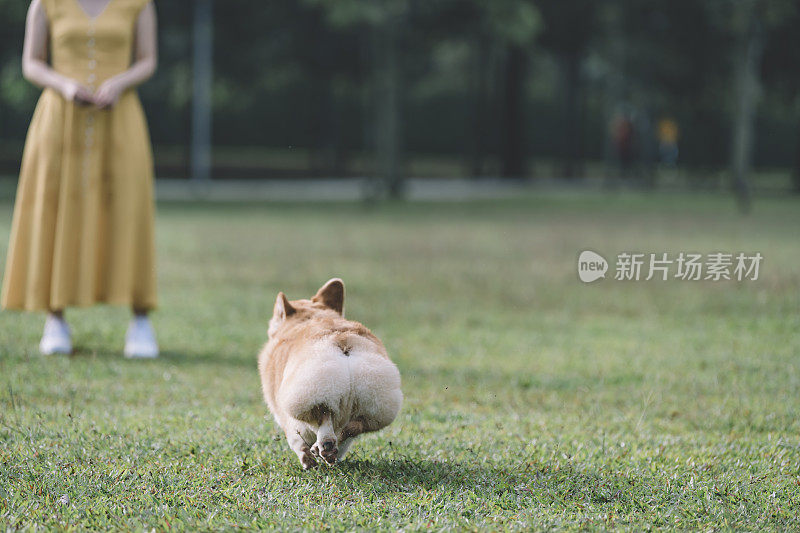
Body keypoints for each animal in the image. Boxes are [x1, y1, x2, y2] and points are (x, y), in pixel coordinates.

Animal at [260, 278, 404, 466]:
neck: (311, 317)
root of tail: (342, 338)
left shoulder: (286, 417)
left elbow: (296, 440)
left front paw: (307, 460)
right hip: (378, 402)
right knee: (352, 427)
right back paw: (327, 449)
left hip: (309, 393)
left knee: (324, 416)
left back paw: (323, 446)